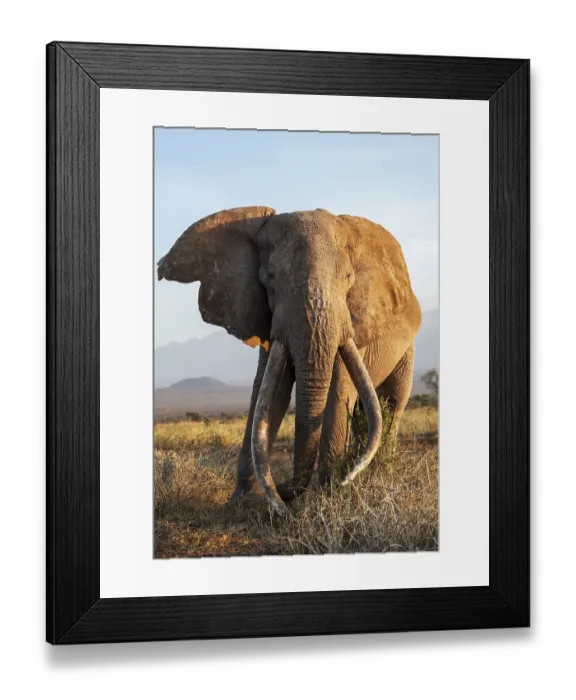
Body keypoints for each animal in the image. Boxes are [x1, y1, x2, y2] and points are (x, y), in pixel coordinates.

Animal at [157, 206, 422, 514]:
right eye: (270, 279)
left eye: (348, 277)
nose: (285, 493)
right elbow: (272, 393)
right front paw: (244, 503)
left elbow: (338, 390)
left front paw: (326, 498)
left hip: (407, 348)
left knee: (392, 401)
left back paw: (374, 473)